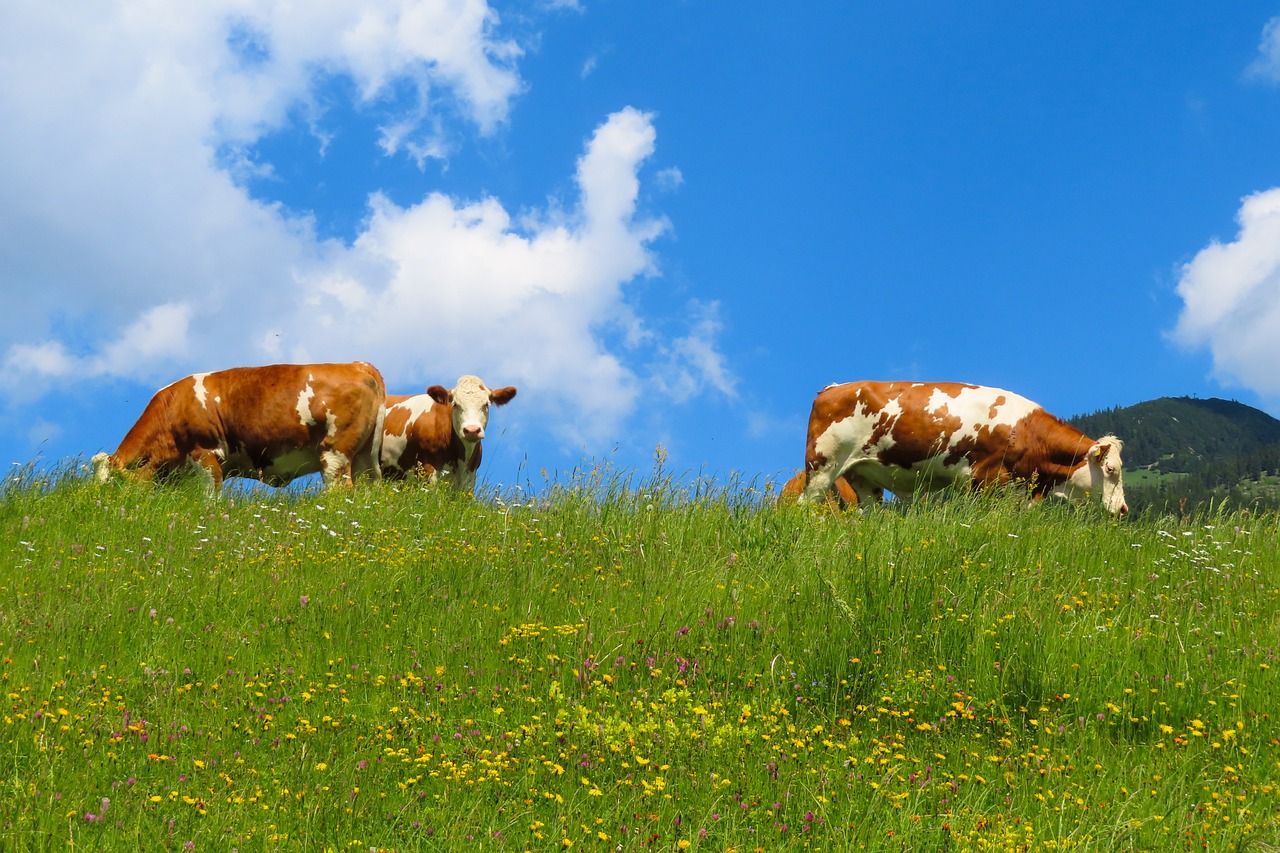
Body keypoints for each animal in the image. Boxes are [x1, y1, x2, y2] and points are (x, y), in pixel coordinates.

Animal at [376, 373, 517, 491]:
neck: (461, 458)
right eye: (455, 404)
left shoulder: (470, 475)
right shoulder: (428, 466)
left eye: (486, 404)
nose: (471, 430)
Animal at [803, 381, 1126, 514]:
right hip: (822, 467)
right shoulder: (986, 481)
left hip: (864, 478)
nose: (1123, 509)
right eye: (1111, 469)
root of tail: (833, 388)